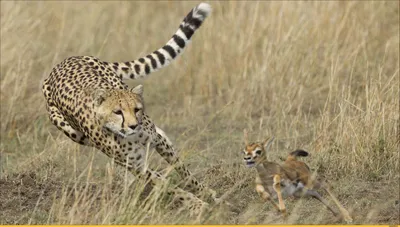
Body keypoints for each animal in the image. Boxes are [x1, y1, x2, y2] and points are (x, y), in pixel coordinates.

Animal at [41, 2, 217, 214]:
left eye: (136, 109)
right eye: (117, 112)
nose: (133, 125)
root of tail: (61, 64)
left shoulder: (156, 142)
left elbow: (182, 168)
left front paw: (204, 192)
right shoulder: (136, 166)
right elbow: (167, 185)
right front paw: (196, 203)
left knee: (163, 137)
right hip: (76, 135)